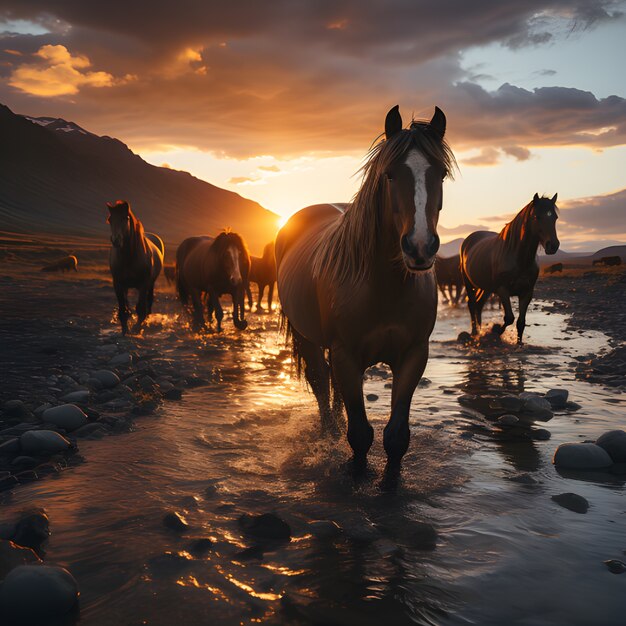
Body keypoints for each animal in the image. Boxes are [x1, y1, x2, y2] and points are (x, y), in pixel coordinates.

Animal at [106, 201, 163, 336]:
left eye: (125, 218)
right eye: (110, 219)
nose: (116, 240)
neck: (129, 257)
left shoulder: (143, 284)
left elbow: (141, 309)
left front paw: (136, 330)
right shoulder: (118, 284)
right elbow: (123, 310)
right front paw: (125, 331)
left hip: (150, 284)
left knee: (149, 303)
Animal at [276, 105, 454, 464]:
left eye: (440, 174)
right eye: (390, 174)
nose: (419, 247)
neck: (384, 287)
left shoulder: (414, 354)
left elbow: (396, 437)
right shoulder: (345, 354)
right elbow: (359, 435)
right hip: (307, 338)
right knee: (320, 382)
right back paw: (328, 432)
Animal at [456, 193, 560, 344]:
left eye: (555, 217)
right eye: (537, 216)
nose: (553, 245)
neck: (519, 259)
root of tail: (468, 240)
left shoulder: (527, 293)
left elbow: (521, 322)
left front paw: (519, 344)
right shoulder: (502, 290)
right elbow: (509, 318)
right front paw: (494, 331)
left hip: (486, 287)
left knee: (479, 304)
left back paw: (479, 332)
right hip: (469, 282)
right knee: (472, 304)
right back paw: (475, 333)